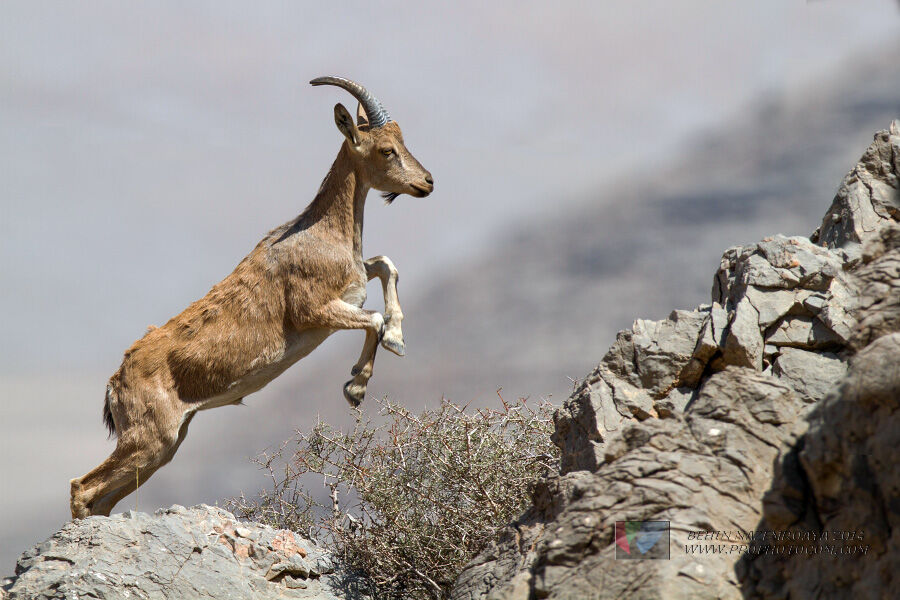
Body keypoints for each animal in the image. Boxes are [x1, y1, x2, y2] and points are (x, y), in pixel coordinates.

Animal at [68, 77, 434, 520]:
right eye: (386, 149)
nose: (427, 182)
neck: (323, 232)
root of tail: (114, 383)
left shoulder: (353, 287)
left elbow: (385, 265)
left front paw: (395, 340)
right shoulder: (315, 311)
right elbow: (374, 317)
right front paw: (358, 385)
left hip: (163, 446)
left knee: (102, 498)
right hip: (150, 437)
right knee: (82, 488)